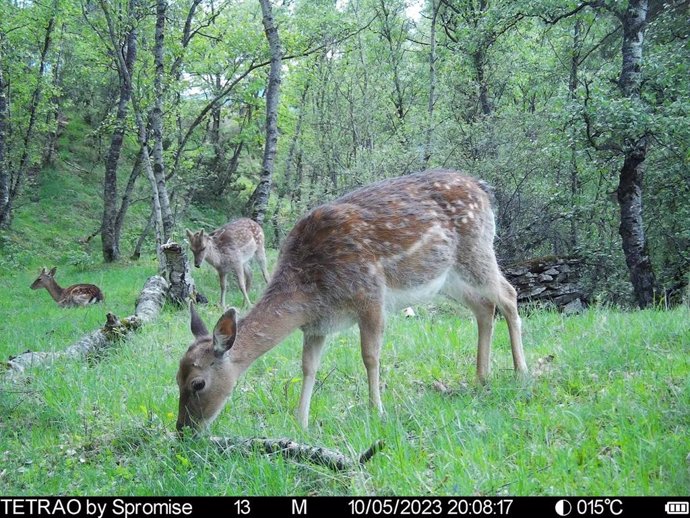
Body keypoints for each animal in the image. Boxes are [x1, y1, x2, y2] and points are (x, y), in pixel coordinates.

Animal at [176, 171, 528, 434]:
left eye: (197, 384)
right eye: (176, 378)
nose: (183, 431)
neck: (310, 290)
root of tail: (483, 190)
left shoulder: (370, 296)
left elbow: (370, 356)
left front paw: (377, 410)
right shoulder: (317, 325)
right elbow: (308, 367)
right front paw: (301, 422)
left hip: (477, 250)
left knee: (508, 294)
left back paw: (521, 372)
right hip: (447, 279)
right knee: (483, 307)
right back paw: (481, 377)